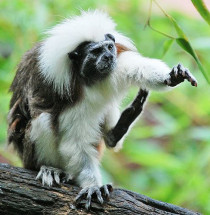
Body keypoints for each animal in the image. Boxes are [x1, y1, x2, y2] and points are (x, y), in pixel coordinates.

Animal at [7, 10, 198, 210]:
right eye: (95, 52)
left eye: (109, 47)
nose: (108, 56)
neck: (92, 79)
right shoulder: (72, 99)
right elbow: (76, 143)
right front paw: (93, 186)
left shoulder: (116, 65)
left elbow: (139, 69)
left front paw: (173, 76)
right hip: (27, 155)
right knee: (43, 120)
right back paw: (49, 169)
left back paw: (118, 130)